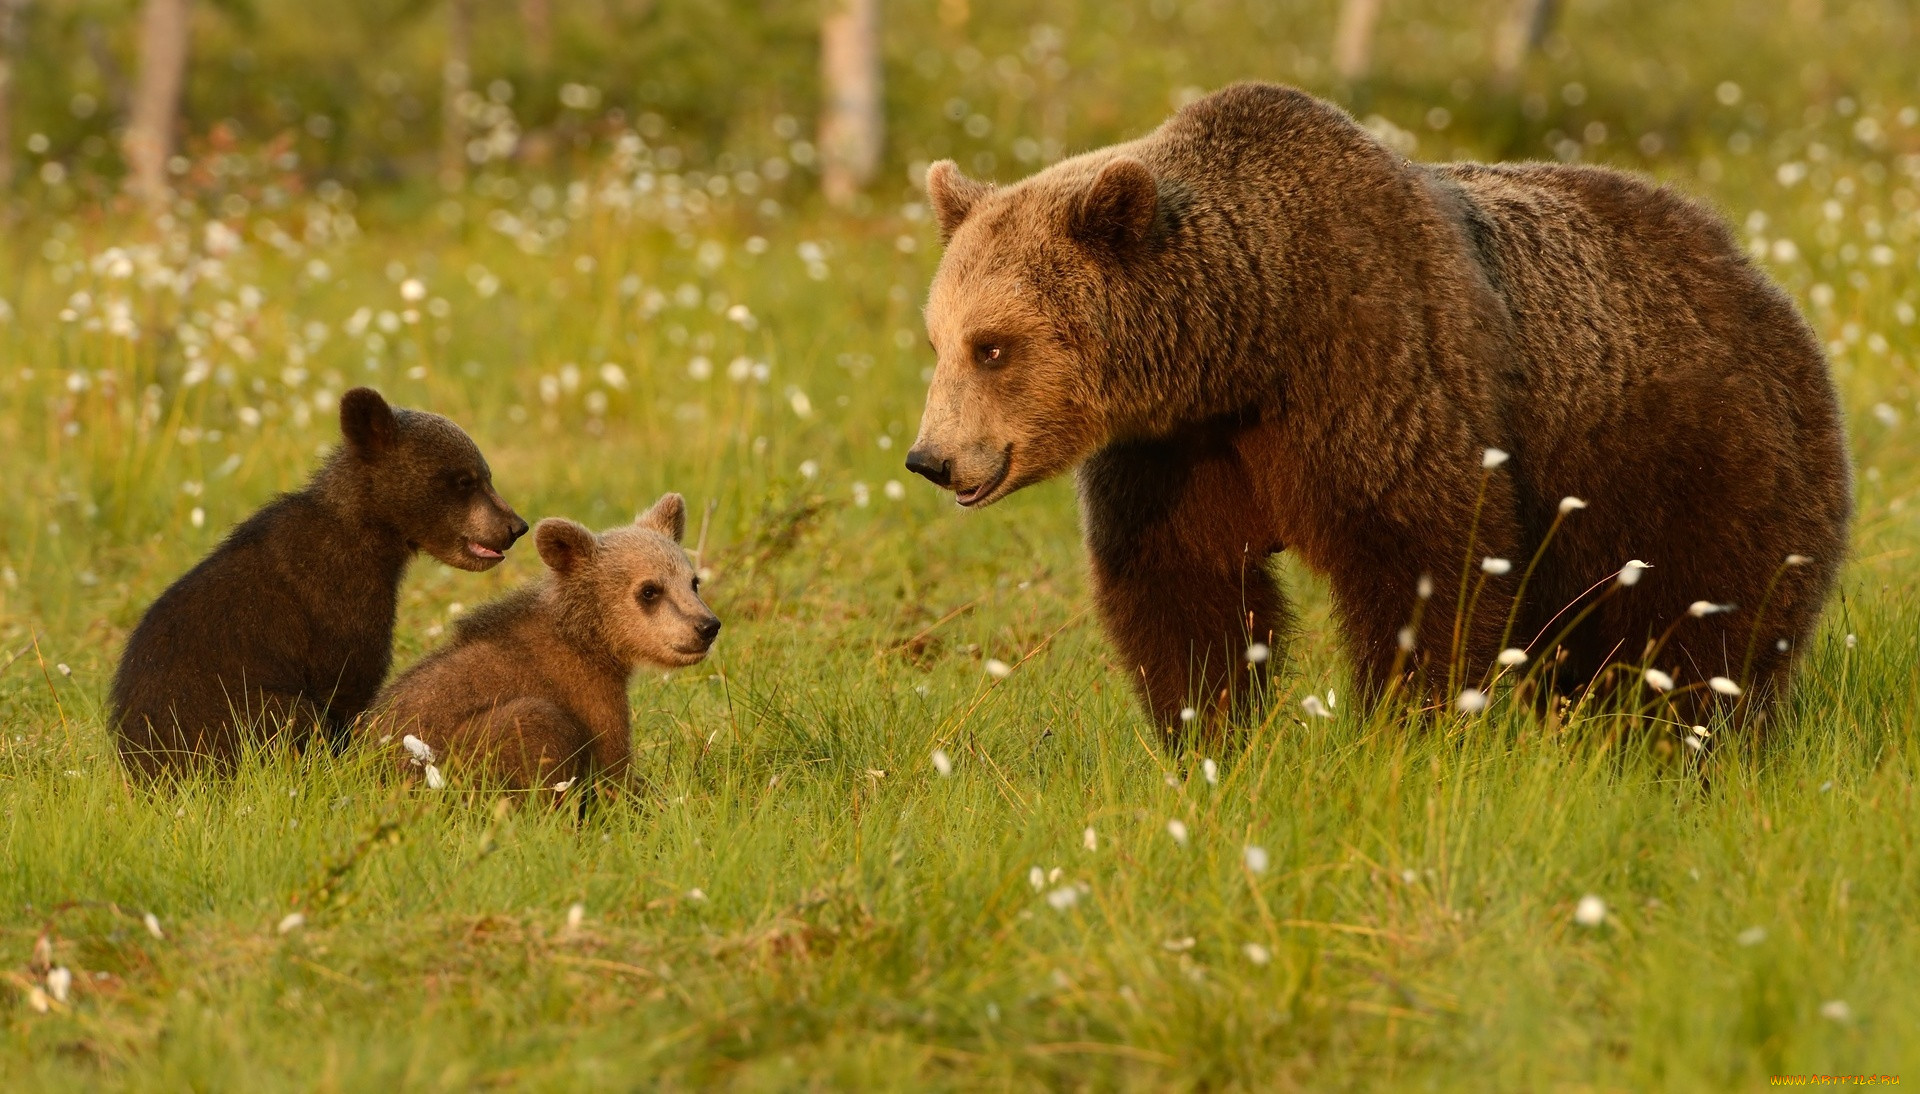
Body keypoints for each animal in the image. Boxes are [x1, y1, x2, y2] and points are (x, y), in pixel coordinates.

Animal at [906, 83, 1850, 725]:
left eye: (993, 346)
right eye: (939, 340)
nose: (931, 458)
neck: (1247, 345)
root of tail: (1755, 274)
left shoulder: (1373, 375)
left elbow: (1425, 565)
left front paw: (1409, 723)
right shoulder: (1175, 452)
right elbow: (1182, 590)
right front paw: (1211, 731)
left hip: (1691, 459)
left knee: (1706, 631)